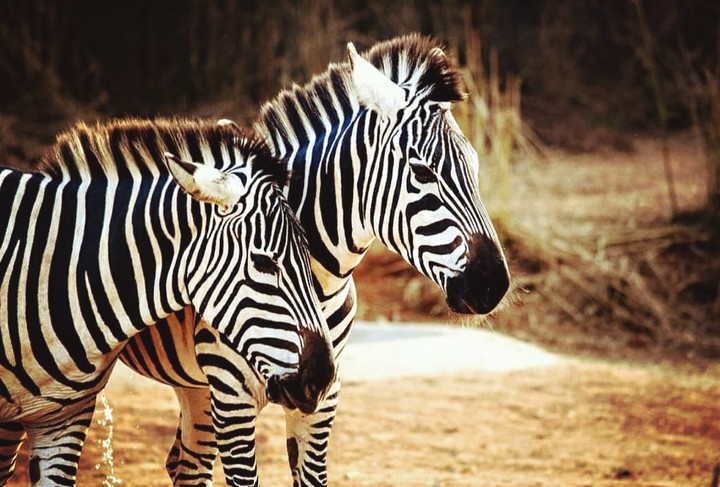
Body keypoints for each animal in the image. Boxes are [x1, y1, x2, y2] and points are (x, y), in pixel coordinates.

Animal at [119, 34, 511, 486]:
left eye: (476, 167)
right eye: (423, 173)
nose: (493, 284)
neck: (320, 282)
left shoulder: (323, 395)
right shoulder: (233, 399)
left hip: (196, 389)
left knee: (184, 463)